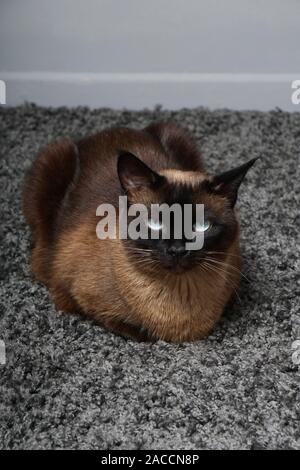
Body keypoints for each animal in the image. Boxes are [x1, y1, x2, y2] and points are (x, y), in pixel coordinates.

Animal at [22, 121, 256, 342]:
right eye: (155, 223)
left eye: (201, 226)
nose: (177, 250)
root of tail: (110, 130)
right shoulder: (74, 295)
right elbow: (130, 328)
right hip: (54, 158)